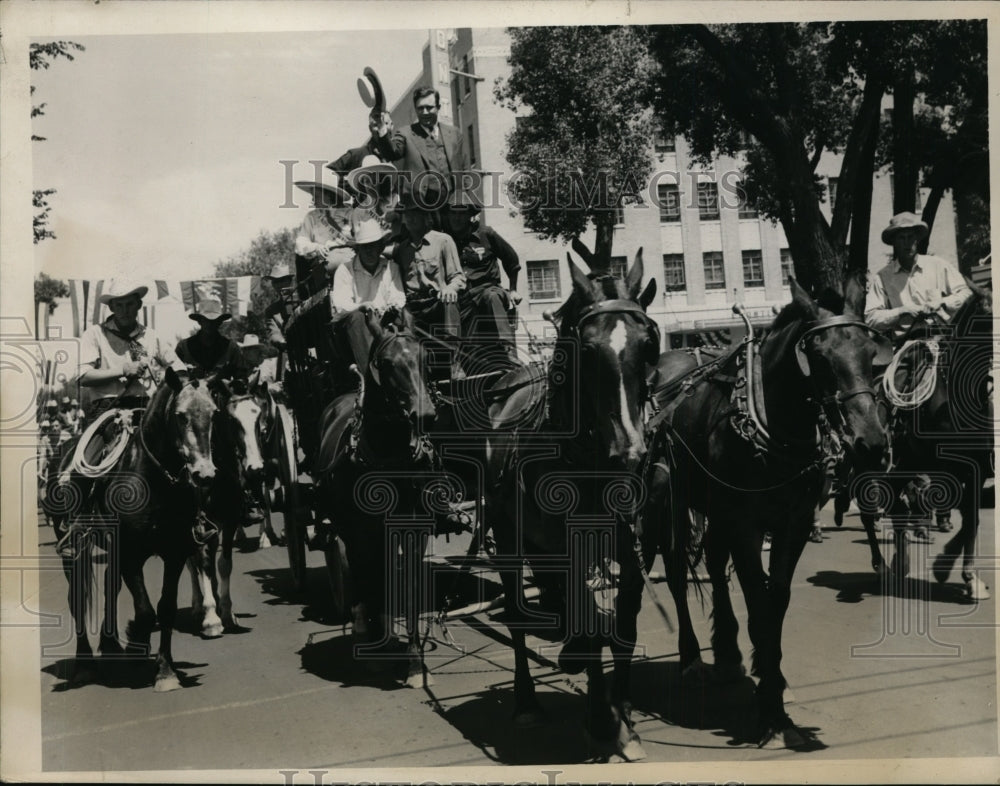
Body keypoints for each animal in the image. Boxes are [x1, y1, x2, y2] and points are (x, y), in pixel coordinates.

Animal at [49, 366, 221, 688]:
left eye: (213, 413)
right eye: (180, 415)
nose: (204, 474)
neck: (153, 478)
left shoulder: (174, 553)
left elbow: (165, 609)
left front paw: (165, 671)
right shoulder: (130, 553)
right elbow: (144, 611)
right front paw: (136, 644)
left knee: (110, 586)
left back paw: (111, 645)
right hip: (73, 551)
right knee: (78, 600)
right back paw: (85, 665)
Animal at [482, 248, 660, 756]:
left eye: (649, 344)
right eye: (588, 350)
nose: (630, 452)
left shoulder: (635, 548)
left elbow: (622, 626)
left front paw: (624, 717)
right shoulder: (570, 549)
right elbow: (591, 626)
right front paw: (601, 720)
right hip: (507, 535)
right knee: (518, 615)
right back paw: (526, 701)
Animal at [648, 276, 892, 748]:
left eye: (870, 354)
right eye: (819, 357)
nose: (870, 442)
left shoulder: (791, 524)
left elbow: (776, 599)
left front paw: (773, 683)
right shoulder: (746, 526)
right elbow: (757, 599)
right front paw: (768, 709)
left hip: (715, 506)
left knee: (714, 562)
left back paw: (727, 652)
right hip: (672, 501)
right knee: (676, 572)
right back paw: (691, 657)